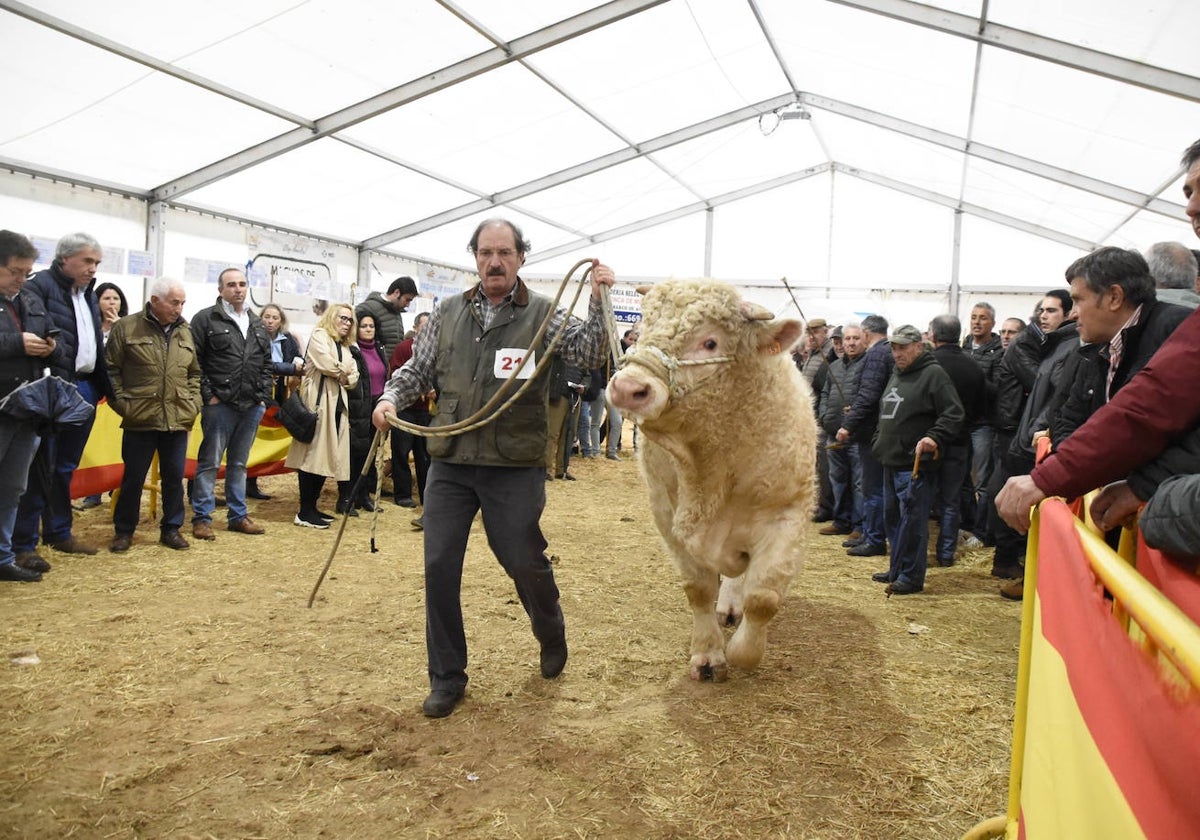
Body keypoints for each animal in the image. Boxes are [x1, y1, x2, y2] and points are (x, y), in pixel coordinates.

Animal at [609, 282, 816, 681]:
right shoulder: (667, 515)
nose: (627, 388)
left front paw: (742, 652)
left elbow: (763, 598)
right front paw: (707, 654)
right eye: (641, 331)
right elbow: (698, 589)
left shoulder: (787, 514)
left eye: (710, 342)